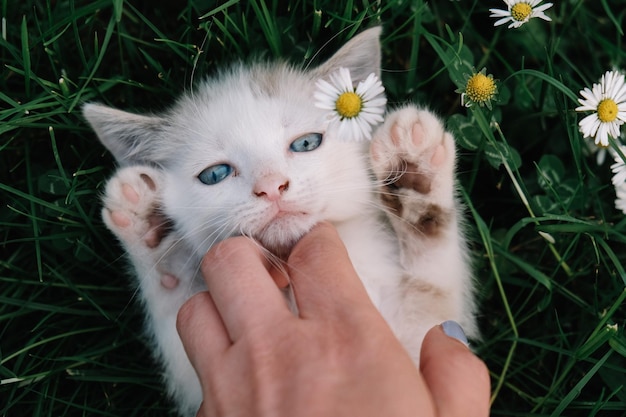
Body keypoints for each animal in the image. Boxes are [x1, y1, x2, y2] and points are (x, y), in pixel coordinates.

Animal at [81, 26, 472, 416]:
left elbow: (433, 292)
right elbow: (176, 318)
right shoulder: (195, 383)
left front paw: (415, 175)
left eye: (306, 143)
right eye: (215, 174)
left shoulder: (416, 336)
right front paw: (160, 237)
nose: (271, 187)